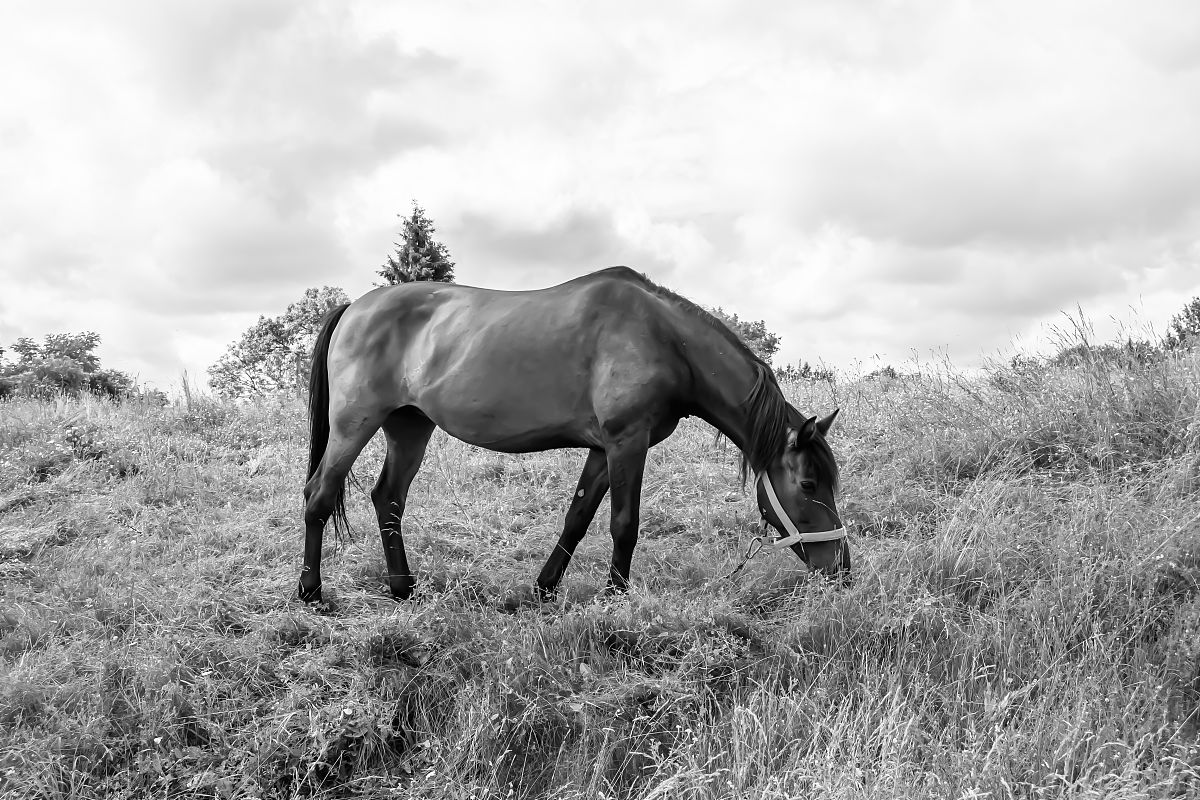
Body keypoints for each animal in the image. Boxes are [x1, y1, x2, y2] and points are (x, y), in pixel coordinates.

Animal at [299, 266, 846, 605]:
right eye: (809, 485)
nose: (840, 568)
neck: (665, 339)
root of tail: (353, 308)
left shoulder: (602, 450)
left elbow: (577, 519)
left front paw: (543, 590)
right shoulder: (627, 443)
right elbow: (624, 523)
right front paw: (615, 598)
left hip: (409, 426)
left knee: (388, 498)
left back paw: (403, 589)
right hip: (353, 425)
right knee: (319, 495)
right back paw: (311, 592)